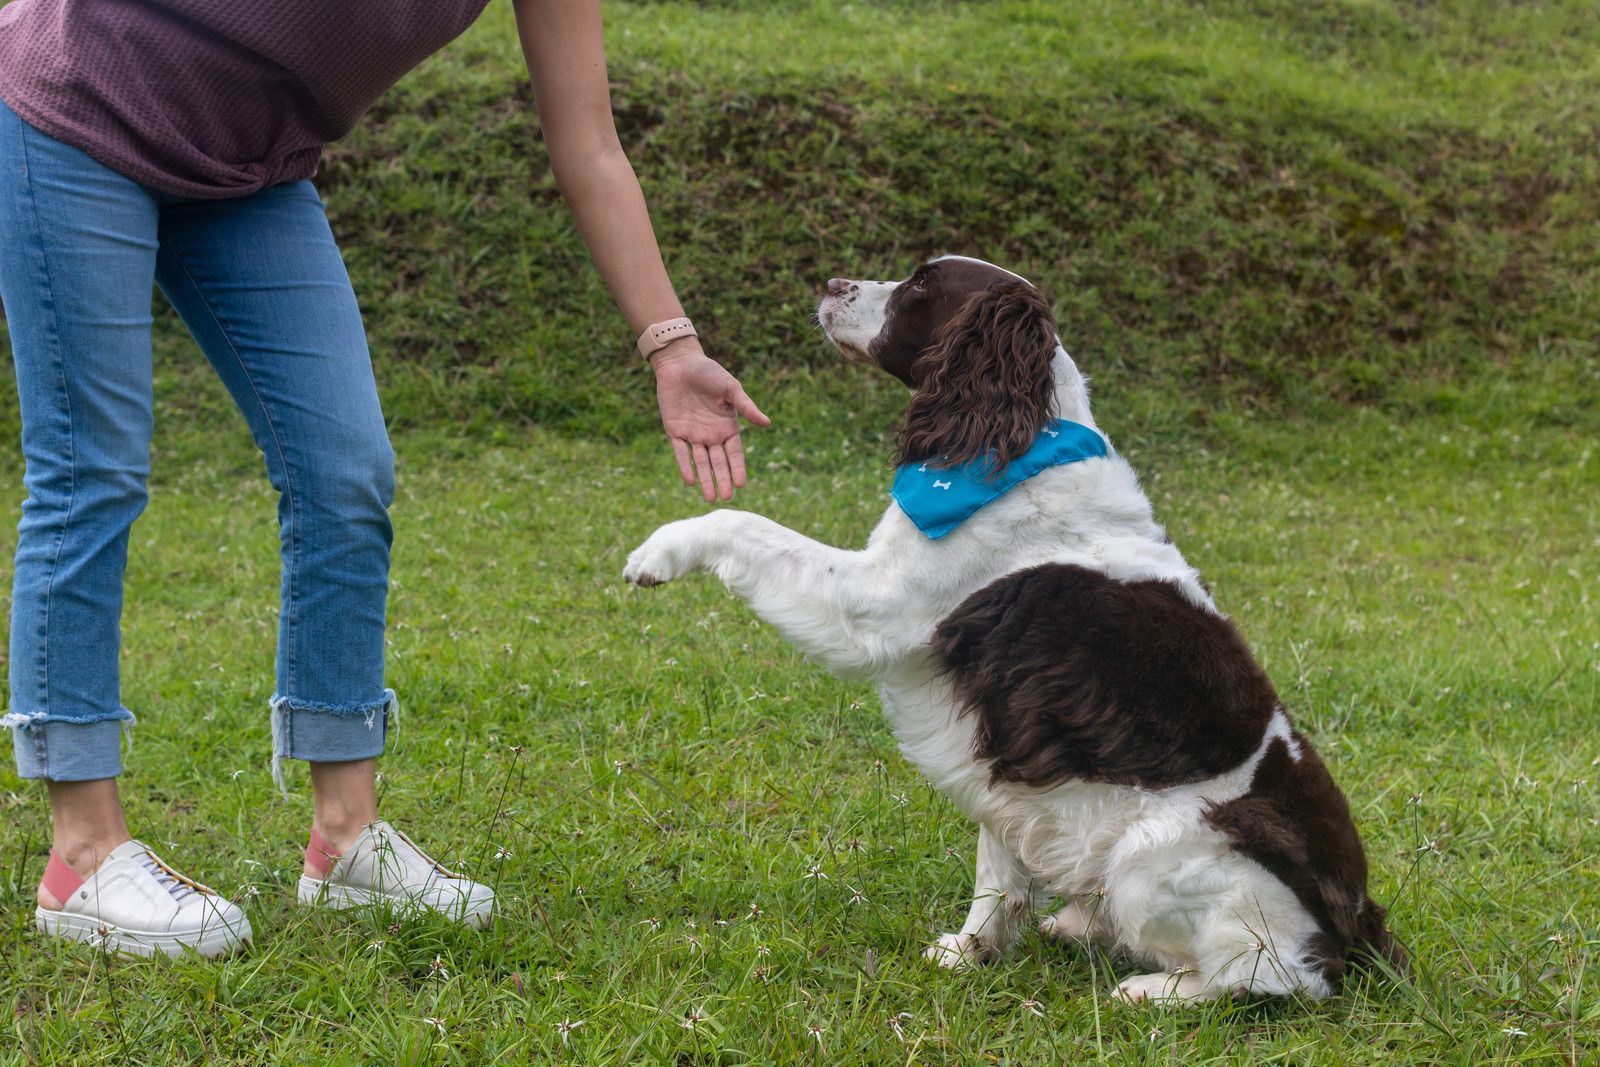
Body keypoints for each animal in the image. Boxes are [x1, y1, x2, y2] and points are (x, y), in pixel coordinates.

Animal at [624, 254, 1401, 1004]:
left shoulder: (877, 604)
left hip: (1157, 858)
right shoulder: (1007, 741)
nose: (833, 282)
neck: (1018, 444)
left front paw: (659, 551)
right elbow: (999, 860)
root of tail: (1359, 921)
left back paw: (1156, 989)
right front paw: (972, 953)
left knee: (1277, 974)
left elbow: (745, 524)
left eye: (922, 285)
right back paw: (1079, 923)